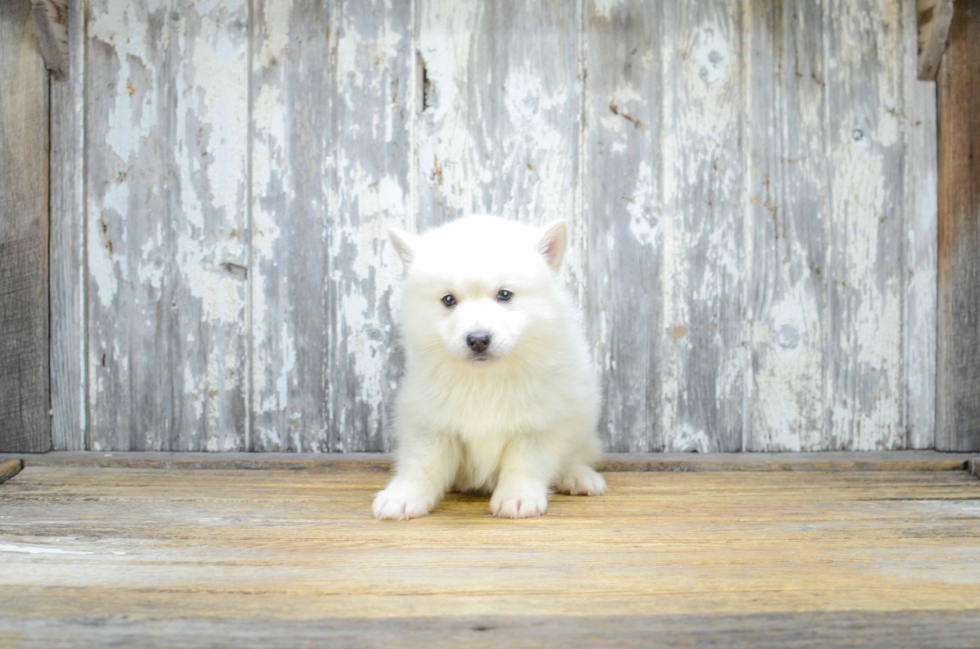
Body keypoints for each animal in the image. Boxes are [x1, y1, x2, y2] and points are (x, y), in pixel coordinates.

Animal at [374, 215, 604, 520]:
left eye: (504, 295)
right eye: (448, 300)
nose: (478, 340)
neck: (485, 379)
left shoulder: (541, 423)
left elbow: (524, 462)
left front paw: (517, 497)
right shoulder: (430, 421)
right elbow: (421, 462)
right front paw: (403, 496)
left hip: (583, 422)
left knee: (578, 454)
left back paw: (579, 477)